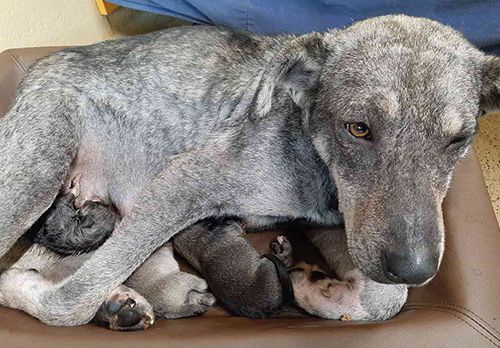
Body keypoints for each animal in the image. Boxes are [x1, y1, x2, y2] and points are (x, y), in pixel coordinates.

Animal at [0, 14, 500, 328]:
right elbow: (68, 302)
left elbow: (386, 299)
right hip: (36, 177)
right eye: (358, 128)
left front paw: (316, 288)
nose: (416, 270)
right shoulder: (183, 183)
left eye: (459, 139)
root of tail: (42, 66)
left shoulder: (335, 225)